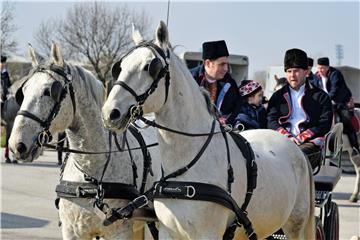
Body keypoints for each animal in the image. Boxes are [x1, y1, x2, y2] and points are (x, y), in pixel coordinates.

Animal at [8, 44, 160, 239]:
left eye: (50, 91)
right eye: (23, 92)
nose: (16, 145)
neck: (90, 174)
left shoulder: (119, 232)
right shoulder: (72, 231)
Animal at [101, 21, 316, 239]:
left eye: (150, 67)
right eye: (120, 66)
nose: (110, 113)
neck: (185, 168)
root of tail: (295, 148)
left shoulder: (209, 233)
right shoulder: (167, 232)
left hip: (295, 226)